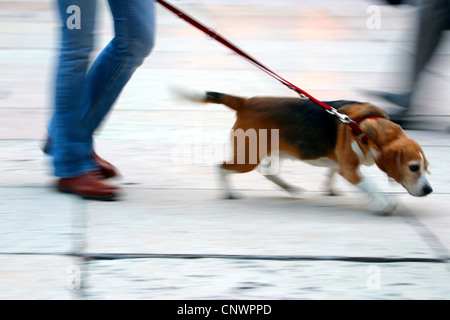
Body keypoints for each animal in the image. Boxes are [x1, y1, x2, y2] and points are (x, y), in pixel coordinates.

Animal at [176, 89, 432, 216]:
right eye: (413, 167)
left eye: (426, 168)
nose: (429, 190)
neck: (364, 125)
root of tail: (246, 102)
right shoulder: (350, 169)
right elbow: (370, 186)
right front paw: (384, 204)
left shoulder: (340, 164)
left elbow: (333, 173)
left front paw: (330, 188)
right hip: (248, 158)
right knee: (221, 167)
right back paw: (228, 192)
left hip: (271, 152)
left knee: (268, 173)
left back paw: (290, 188)